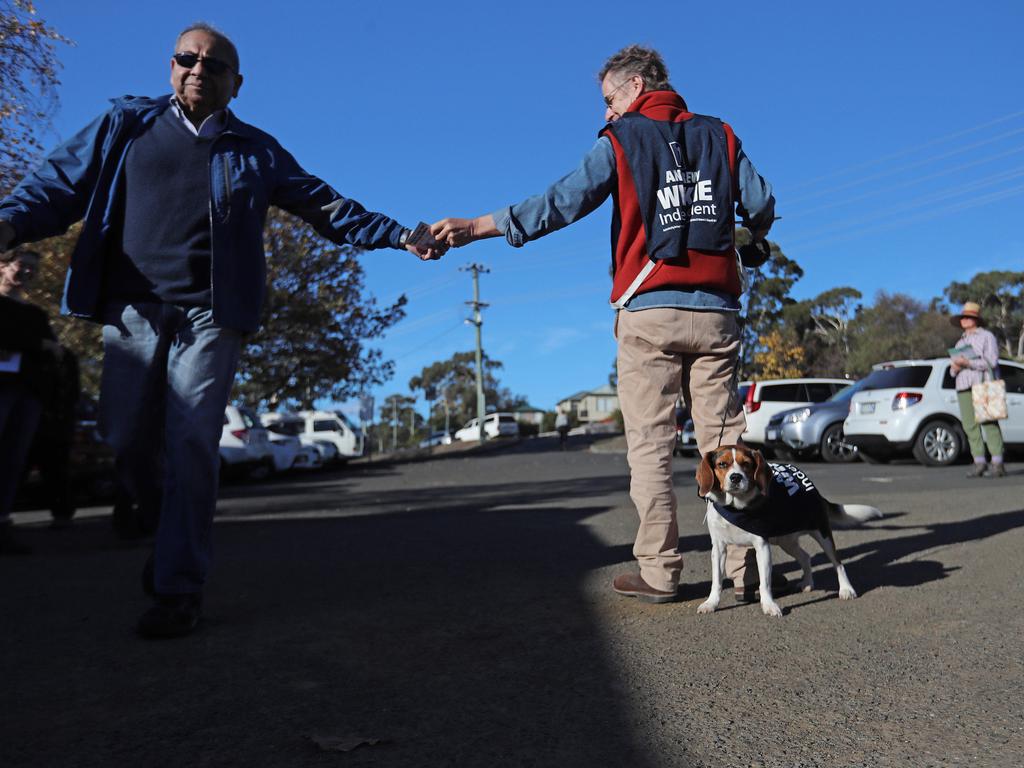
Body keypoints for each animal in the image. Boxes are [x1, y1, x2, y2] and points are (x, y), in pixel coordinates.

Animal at [696, 444, 880, 618]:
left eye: (746, 464)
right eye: (722, 464)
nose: (736, 477)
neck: (735, 509)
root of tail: (816, 492)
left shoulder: (762, 547)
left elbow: (765, 583)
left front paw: (769, 605)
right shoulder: (718, 548)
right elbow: (717, 581)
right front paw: (711, 603)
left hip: (822, 534)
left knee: (838, 563)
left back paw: (846, 589)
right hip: (786, 541)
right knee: (805, 557)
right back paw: (808, 583)